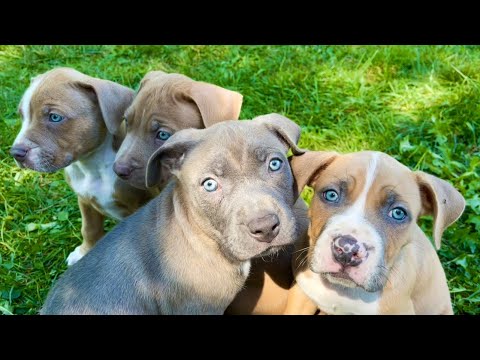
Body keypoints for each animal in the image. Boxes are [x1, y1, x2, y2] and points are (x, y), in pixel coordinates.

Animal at [10, 67, 151, 264]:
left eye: (55, 117)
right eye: (22, 116)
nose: (16, 152)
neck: (91, 166)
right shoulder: (85, 200)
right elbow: (89, 229)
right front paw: (84, 252)